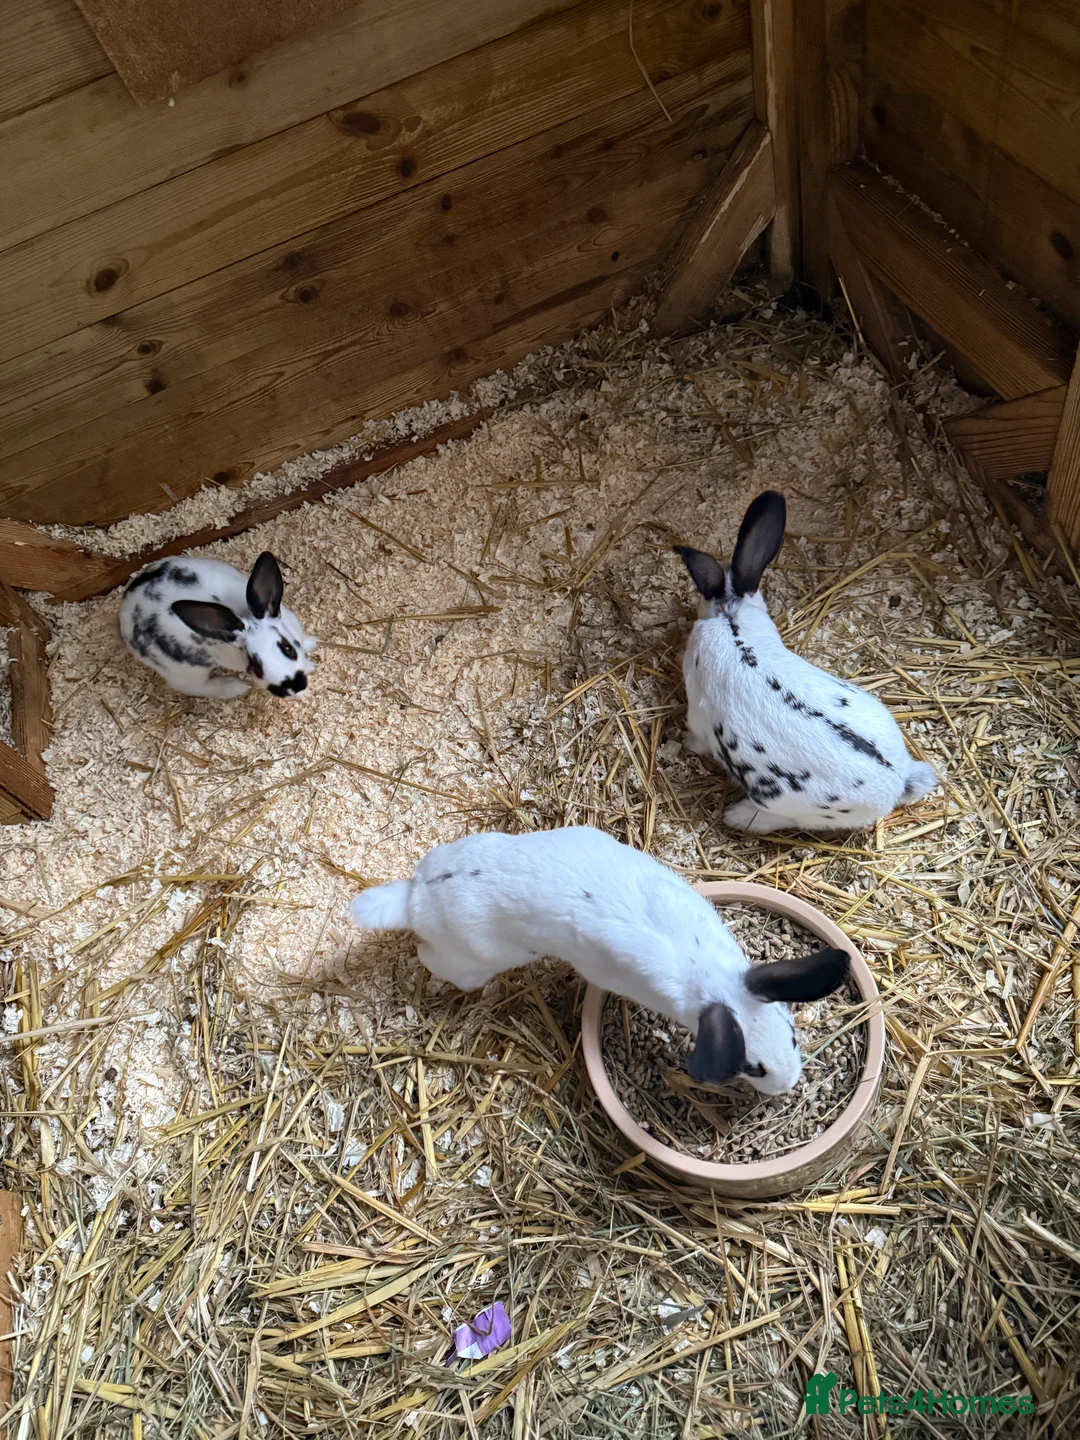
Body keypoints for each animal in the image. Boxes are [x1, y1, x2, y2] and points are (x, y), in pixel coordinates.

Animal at [119, 551, 317, 700]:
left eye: (288, 648)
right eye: (255, 668)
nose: (292, 688)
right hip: (185, 671)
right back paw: (237, 687)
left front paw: (313, 645)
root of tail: (125, 606)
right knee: (196, 687)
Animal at [348, 825, 850, 1095]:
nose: (788, 1085)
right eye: (753, 1067)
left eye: (793, 1036)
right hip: (475, 959)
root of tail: (415, 898)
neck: (709, 976)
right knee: (431, 957)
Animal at [675, 491, 937, 834]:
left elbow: (697, 738)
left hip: (786, 806)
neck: (731, 621)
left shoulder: (698, 714)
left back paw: (737, 816)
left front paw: (685, 742)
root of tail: (897, 782)